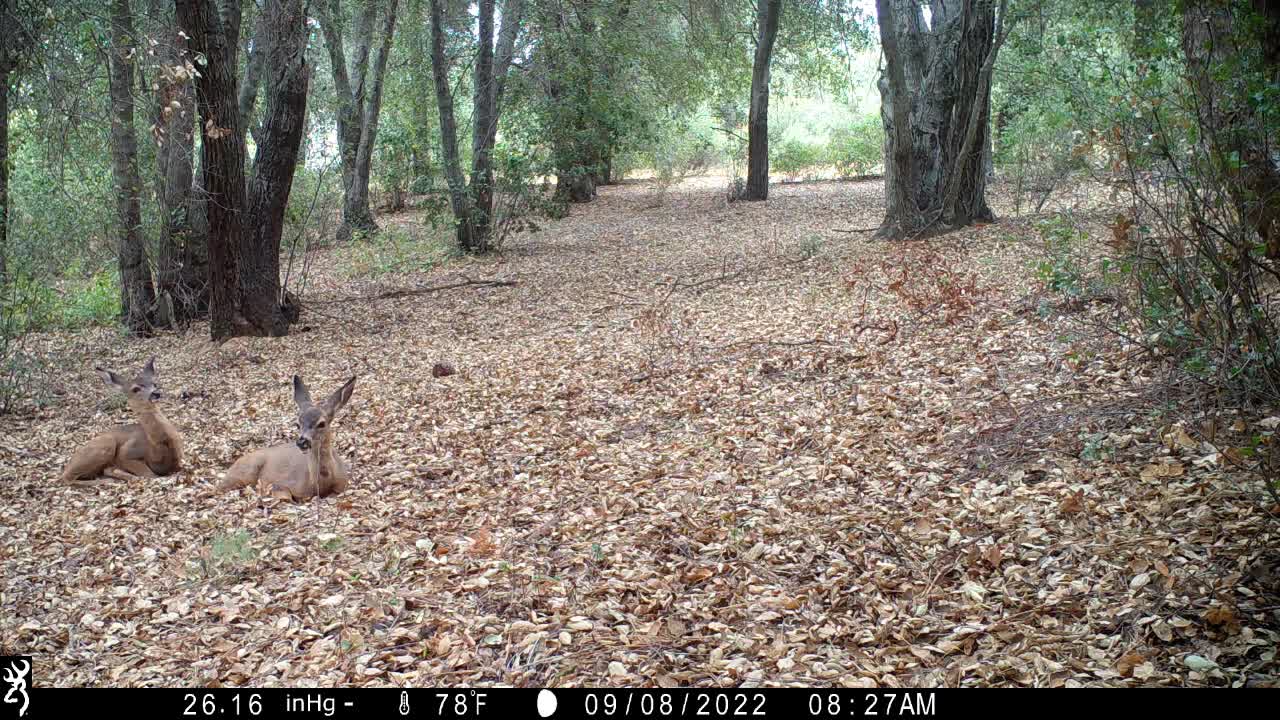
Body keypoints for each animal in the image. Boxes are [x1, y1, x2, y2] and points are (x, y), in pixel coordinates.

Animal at [61, 353, 185, 481]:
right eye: (135, 389)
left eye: (154, 384)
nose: (156, 393)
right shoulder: (125, 452)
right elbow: (149, 474)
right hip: (107, 443)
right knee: (67, 478)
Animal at [215, 371, 355, 502]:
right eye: (297, 424)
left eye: (321, 423)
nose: (302, 441)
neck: (321, 485)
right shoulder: (282, 483)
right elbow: (284, 496)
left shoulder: (343, 484)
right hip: (245, 471)